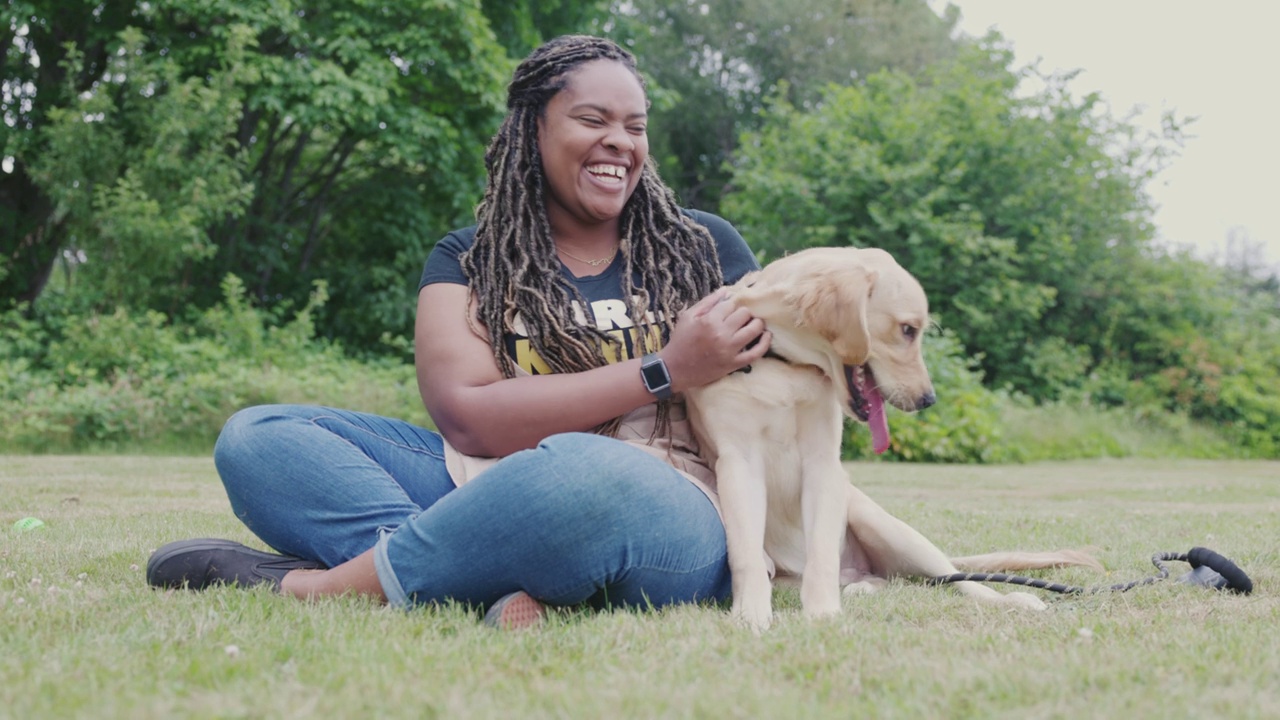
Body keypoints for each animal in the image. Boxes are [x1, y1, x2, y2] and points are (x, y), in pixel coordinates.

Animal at [686, 245, 1095, 627]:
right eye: (908, 330)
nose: (928, 400)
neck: (784, 365)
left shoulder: (823, 464)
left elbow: (822, 555)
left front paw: (823, 614)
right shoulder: (739, 464)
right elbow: (747, 555)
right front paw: (752, 614)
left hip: (887, 528)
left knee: (958, 577)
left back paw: (1012, 599)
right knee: (884, 578)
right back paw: (861, 587)